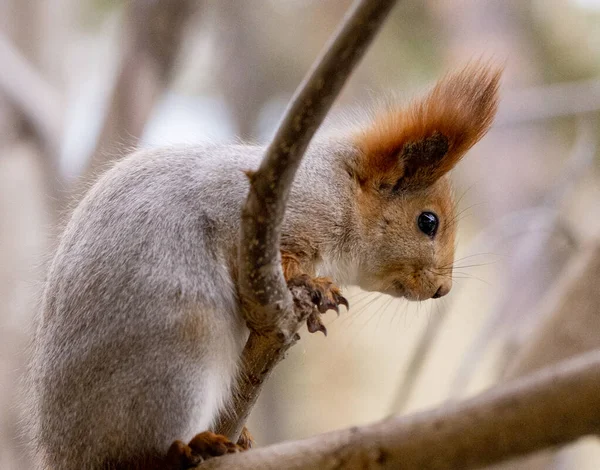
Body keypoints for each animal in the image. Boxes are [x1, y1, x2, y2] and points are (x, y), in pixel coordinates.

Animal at [24, 63, 502, 470]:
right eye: (428, 222)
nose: (442, 290)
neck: (341, 190)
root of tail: (72, 456)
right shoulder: (262, 211)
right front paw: (313, 285)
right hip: (175, 364)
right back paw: (186, 447)